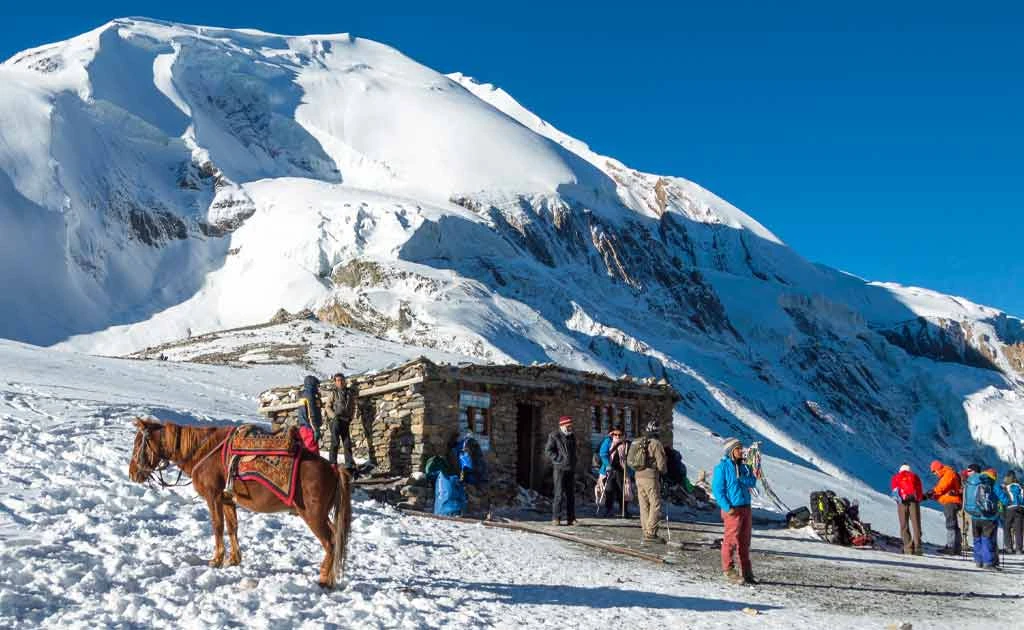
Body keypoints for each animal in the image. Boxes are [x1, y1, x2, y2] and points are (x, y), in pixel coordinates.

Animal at [126, 415, 352, 590]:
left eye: (138, 444)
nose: (132, 474)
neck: (202, 450)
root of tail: (333, 469)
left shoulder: (214, 497)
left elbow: (217, 526)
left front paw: (216, 560)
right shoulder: (227, 500)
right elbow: (232, 527)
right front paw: (233, 559)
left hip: (314, 516)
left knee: (330, 542)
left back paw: (324, 580)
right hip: (322, 516)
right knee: (336, 539)